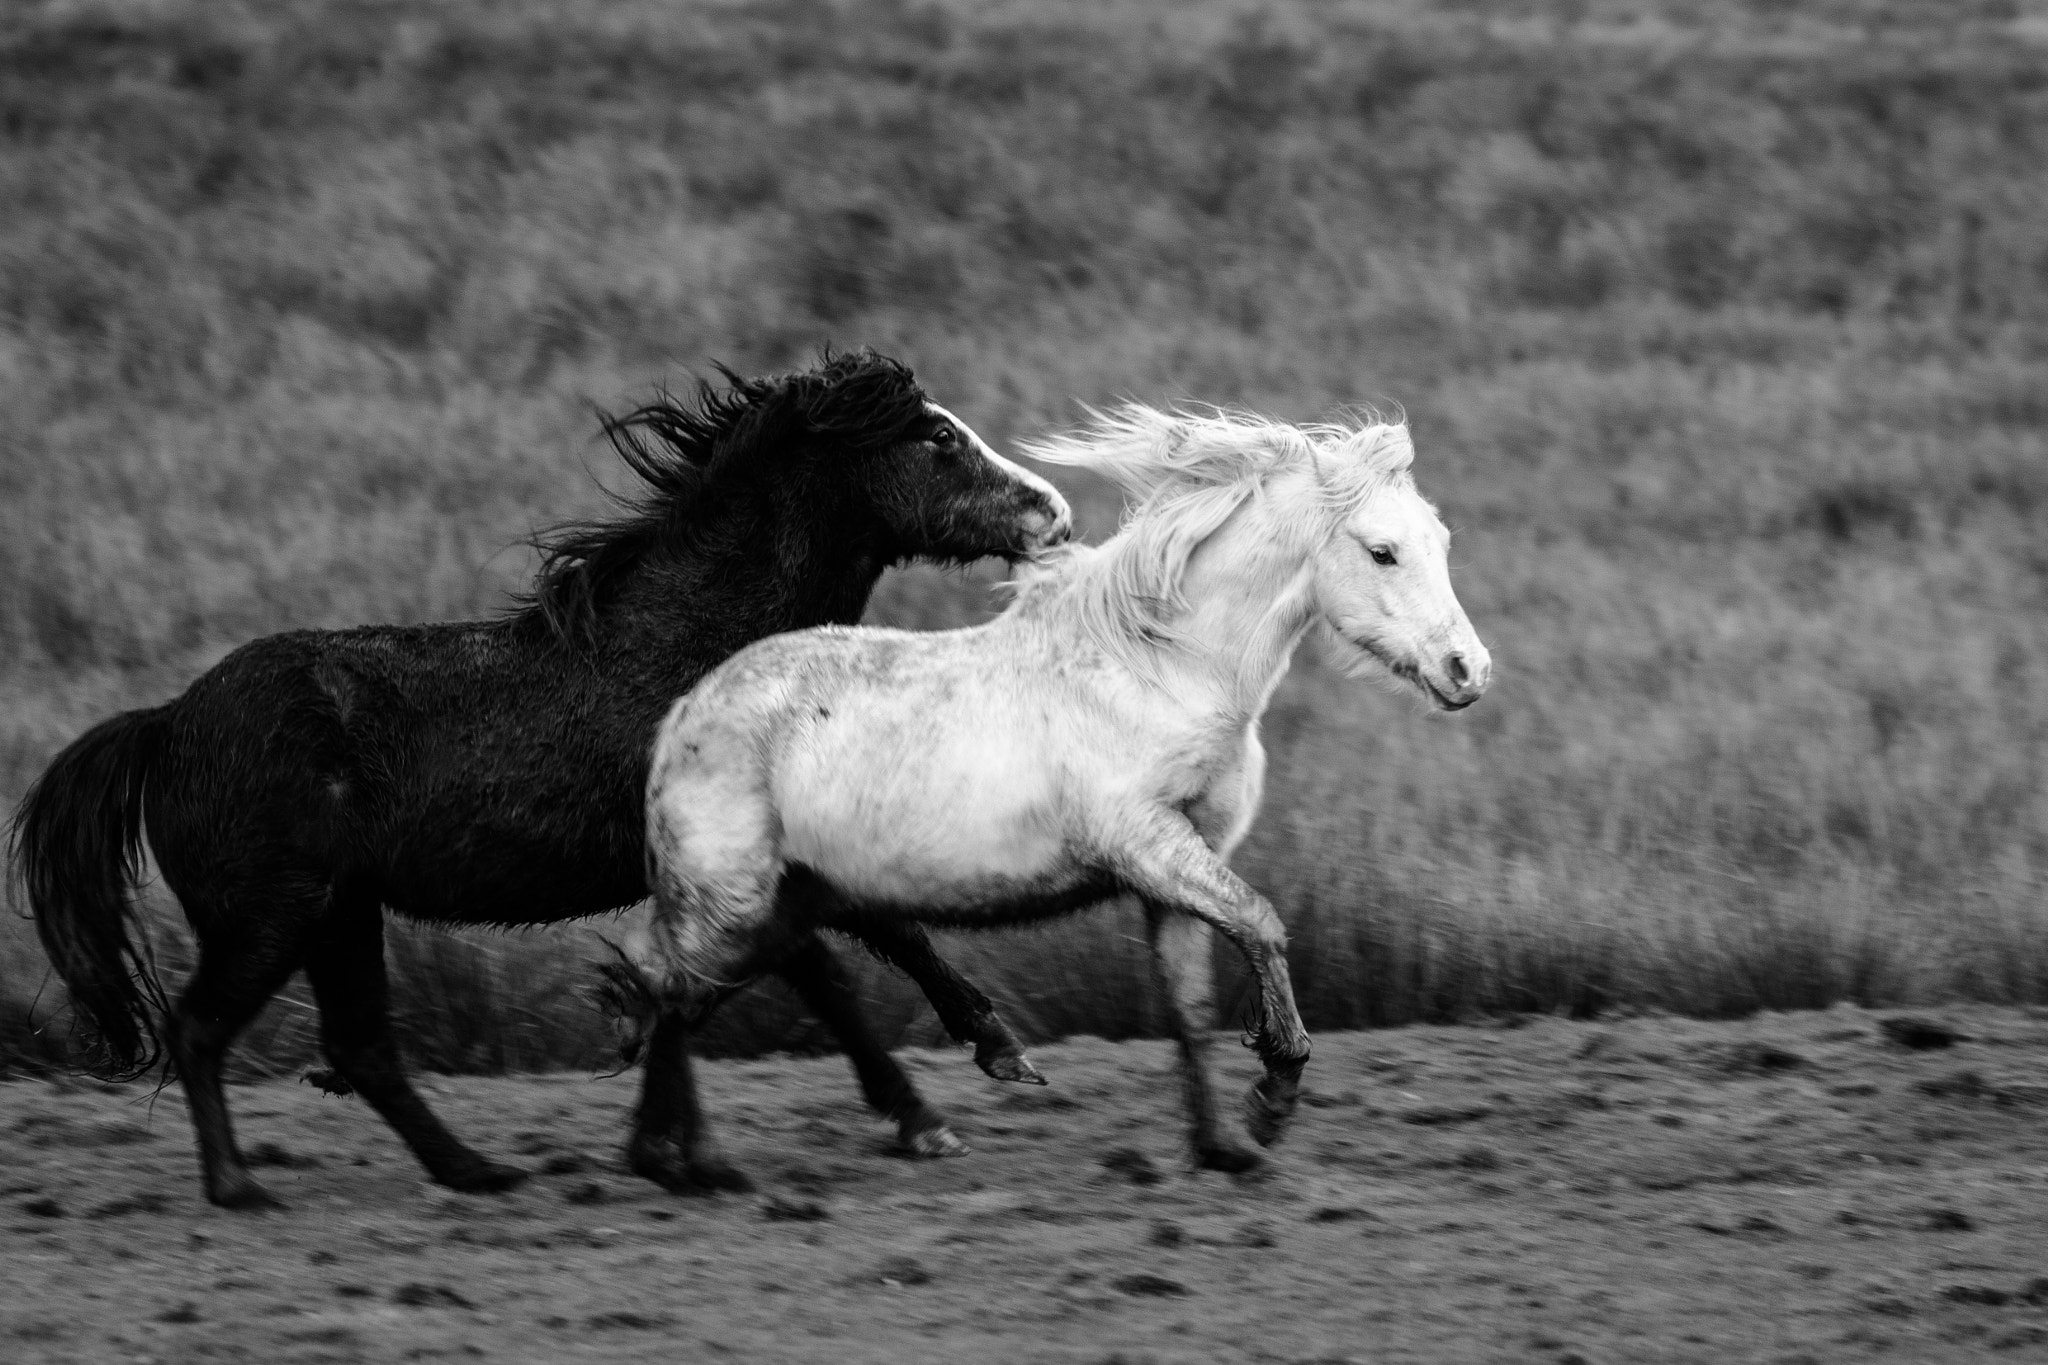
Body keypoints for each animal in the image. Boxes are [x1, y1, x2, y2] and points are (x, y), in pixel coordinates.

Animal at [10, 349, 1071, 1210]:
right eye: (937, 436)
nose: (1052, 514)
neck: (692, 657)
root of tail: (166, 724)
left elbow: (801, 960)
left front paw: (675, 1147)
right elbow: (826, 966)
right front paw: (926, 1109)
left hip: (339, 914)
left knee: (361, 1048)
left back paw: (478, 1171)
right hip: (270, 916)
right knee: (201, 1030)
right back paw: (239, 1186)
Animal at [599, 403, 1491, 1183]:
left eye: (1443, 541)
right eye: (1383, 551)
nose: (1469, 672)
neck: (1161, 667)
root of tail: (681, 717)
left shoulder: (1174, 871)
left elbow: (1190, 1005)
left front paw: (1223, 1148)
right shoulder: (1144, 842)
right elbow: (1264, 924)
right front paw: (1271, 1099)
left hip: (782, 908)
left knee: (687, 991)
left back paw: (680, 1156)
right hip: (734, 904)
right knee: (671, 988)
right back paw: (695, 1163)